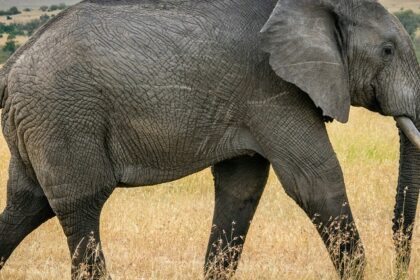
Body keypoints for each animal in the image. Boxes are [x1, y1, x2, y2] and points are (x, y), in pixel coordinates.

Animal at [0, 0, 418, 278]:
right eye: (387, 50)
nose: (400, 264)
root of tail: (12, 66)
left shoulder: (250, 101)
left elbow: (241, 188)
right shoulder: (272, 89)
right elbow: (316, 179)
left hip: (39, 123)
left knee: (27, 204)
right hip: (63, 117)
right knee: (80, 203)